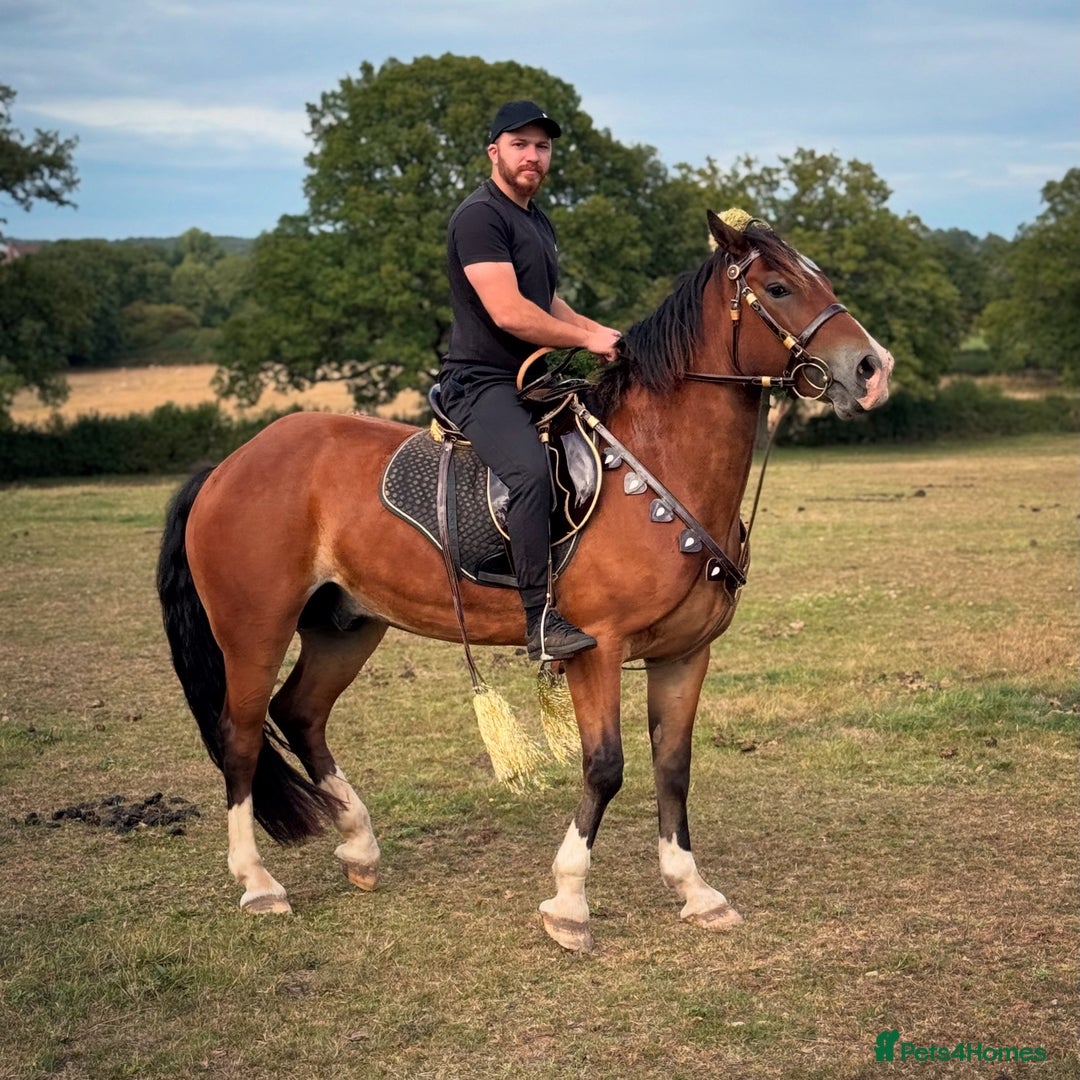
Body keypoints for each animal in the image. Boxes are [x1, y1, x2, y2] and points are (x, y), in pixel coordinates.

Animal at [157, 209, 893, 952]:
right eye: (778, 287)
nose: (872, 368)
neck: (659, 463)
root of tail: (229, 465)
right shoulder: (597, 649)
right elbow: (606, 767)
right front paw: (568, 902)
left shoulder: (685, 654)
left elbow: (673, 766)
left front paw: (694, 889)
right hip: (255, 627)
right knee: (242, 734)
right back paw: (258, 883)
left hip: (348, 625)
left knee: (300, 714)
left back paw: (360, 848)